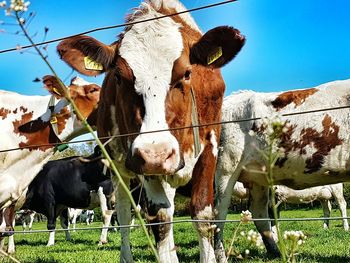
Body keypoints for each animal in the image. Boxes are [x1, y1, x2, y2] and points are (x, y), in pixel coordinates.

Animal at [56, 1, 245, 262]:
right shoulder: (141, 159)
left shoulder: (210, 147)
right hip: (120, 169)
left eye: (187, 73)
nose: (157, 154)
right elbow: (161, 220)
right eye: (118, 76)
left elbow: (203, 216)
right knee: (124, 213)